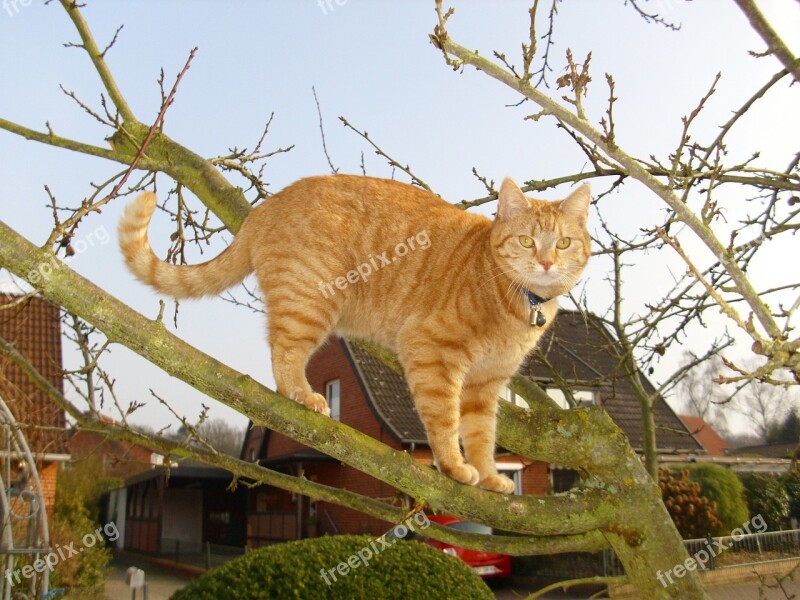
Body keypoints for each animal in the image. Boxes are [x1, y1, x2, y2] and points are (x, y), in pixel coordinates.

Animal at [120, 173, 592, 492]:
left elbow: (481, 435)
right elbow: (445, 422)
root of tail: (266, 205)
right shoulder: (432, 352)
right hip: (311, 303)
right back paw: (303, 395)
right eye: (527, 242)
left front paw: (491, 477)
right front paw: (455, 468)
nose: (547, 263)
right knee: (282, 353)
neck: (519, 299)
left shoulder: (485, 385)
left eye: (563, 243)